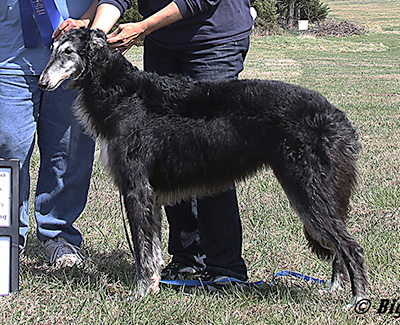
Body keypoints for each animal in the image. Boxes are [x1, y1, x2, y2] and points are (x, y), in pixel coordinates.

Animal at [39, 28, 368, 306]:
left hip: (309, 192)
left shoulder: (136, 188)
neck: (121, 92)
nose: (42, 82)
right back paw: (334, 289)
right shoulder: (151, 195)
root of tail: (336, 116)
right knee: (339, 248)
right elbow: (153, 249)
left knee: (351, 247)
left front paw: (140, 292)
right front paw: (155, 286)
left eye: (69, 51)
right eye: (52, 49)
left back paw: (358, 300)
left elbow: (143, 250)